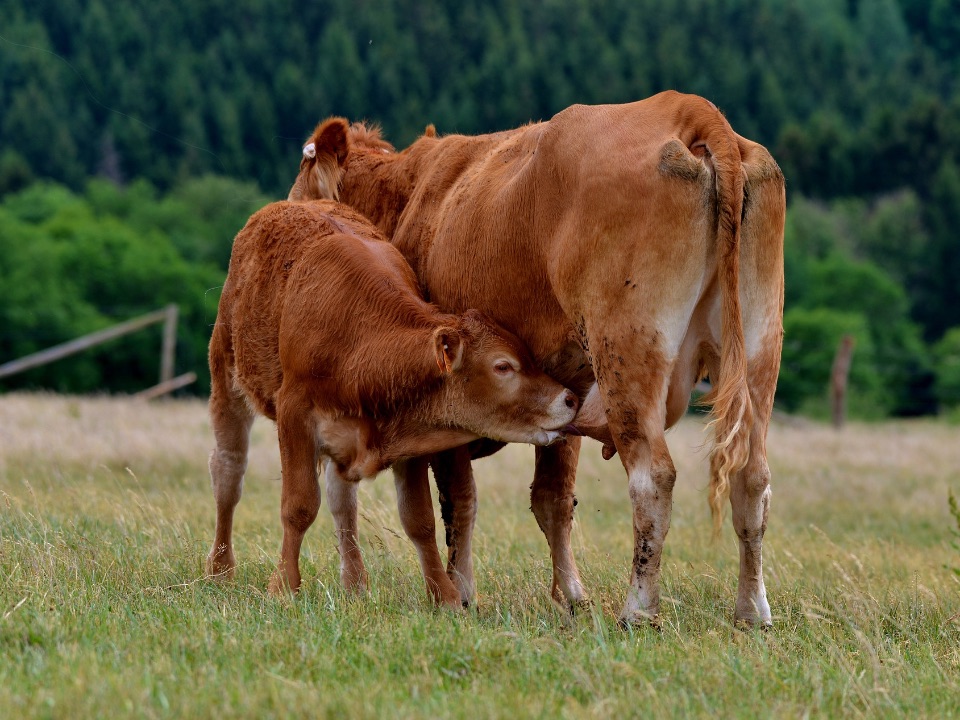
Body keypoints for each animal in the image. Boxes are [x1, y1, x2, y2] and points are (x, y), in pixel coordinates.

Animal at [206, 194, 576, 604]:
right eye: (503, 366)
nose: (569, 398)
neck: (358, 343)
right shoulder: (294, 414)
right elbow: (298, 506)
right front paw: (284, 586)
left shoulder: (410, 435)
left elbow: (419, 519)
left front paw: (444, 596)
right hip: (227, 376)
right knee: (228, 474)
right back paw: (220, 570)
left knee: (341, 500)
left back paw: (354, 583)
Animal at [294, 93, 788, 628]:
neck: (408, 196)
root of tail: (689, 108)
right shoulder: (564, 394)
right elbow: (552, 500)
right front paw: (570, 595)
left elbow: (457, 501)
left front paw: (460, 592)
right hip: (758, 349)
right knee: (752, 481)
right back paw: (752, 610)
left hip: (628, 353)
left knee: (653, 478)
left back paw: (638, 609)